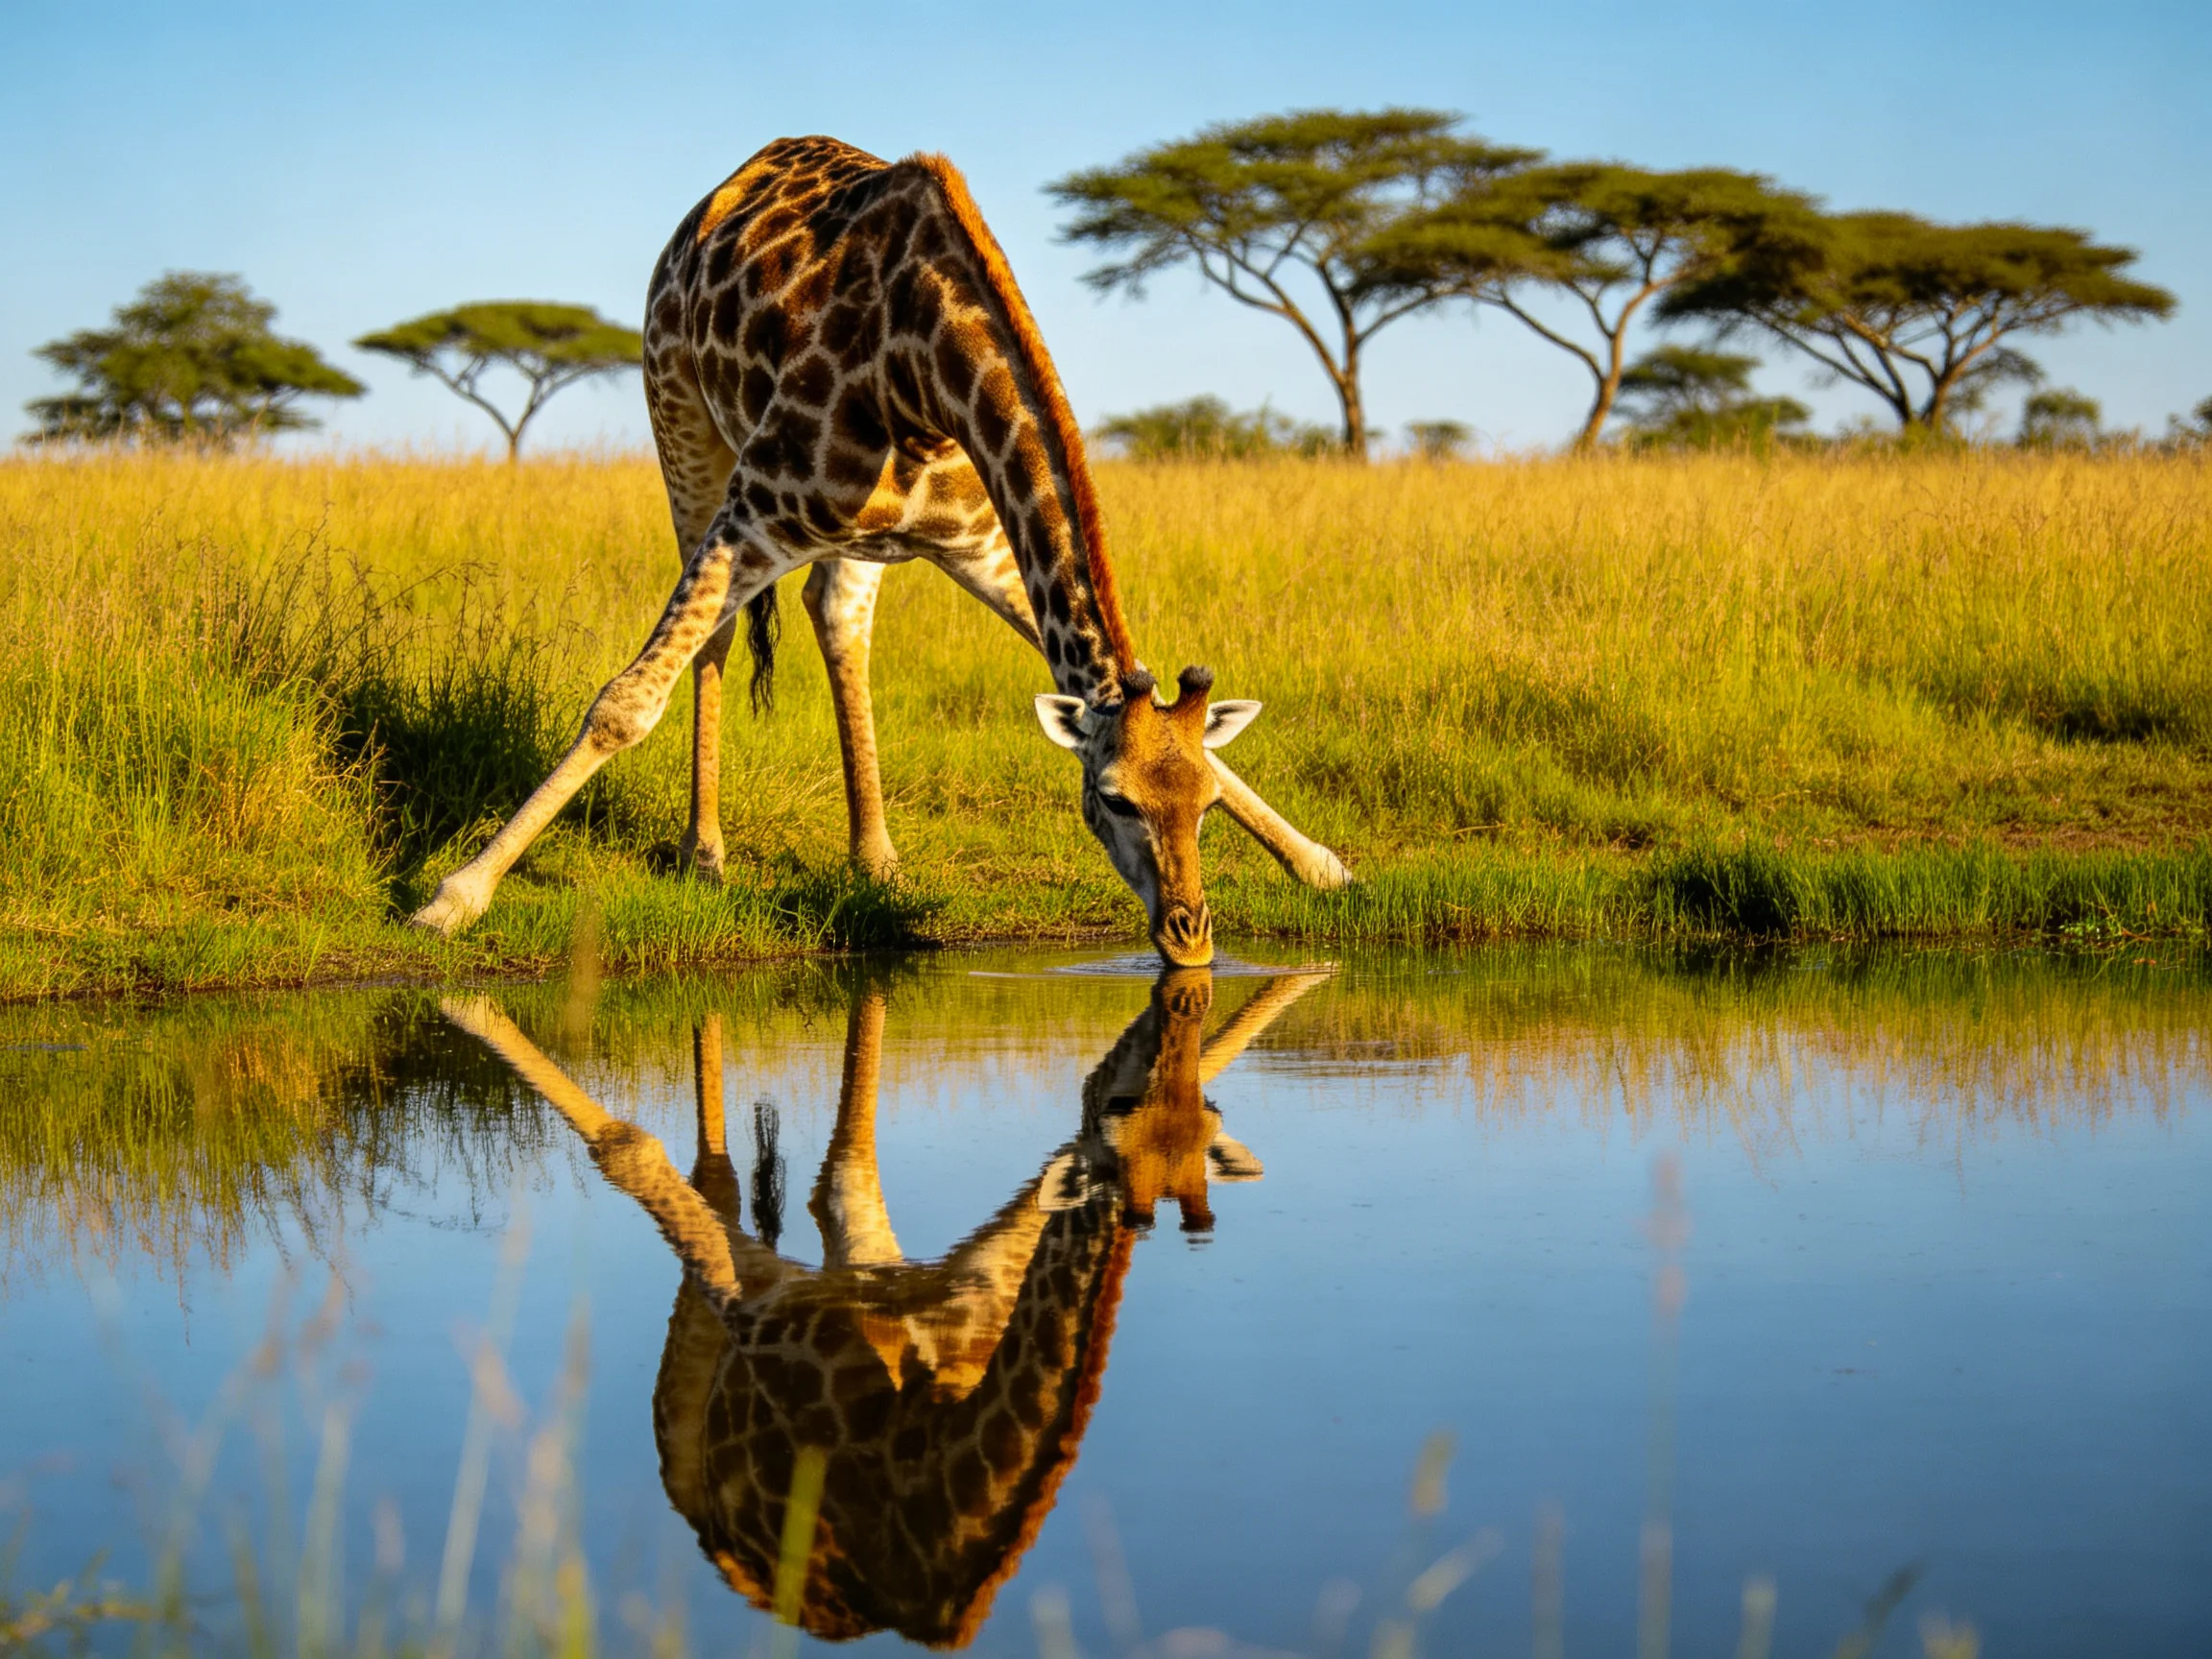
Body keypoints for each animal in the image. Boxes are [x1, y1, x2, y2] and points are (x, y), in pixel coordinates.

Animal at [408, 135, 1349, 967]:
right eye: (1112, 800)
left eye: (1204, 803)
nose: (1191, 940)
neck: (928, 373)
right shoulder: (756, 510)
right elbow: (624, 702)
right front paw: (454, 896)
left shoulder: (981, 546)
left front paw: (1320, 863)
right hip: (682, 428)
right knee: (715, 639)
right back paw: (705, 854)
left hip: (852, 537)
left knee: (835, 622)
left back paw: (875, 857)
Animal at [439, 963, 1326, 1646]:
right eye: (1118, 1114)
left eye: (1209, 1113)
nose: (1165, 1031)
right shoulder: (762, 1313)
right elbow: (635, 1150)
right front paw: (469, 1004)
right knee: (714, 1186)